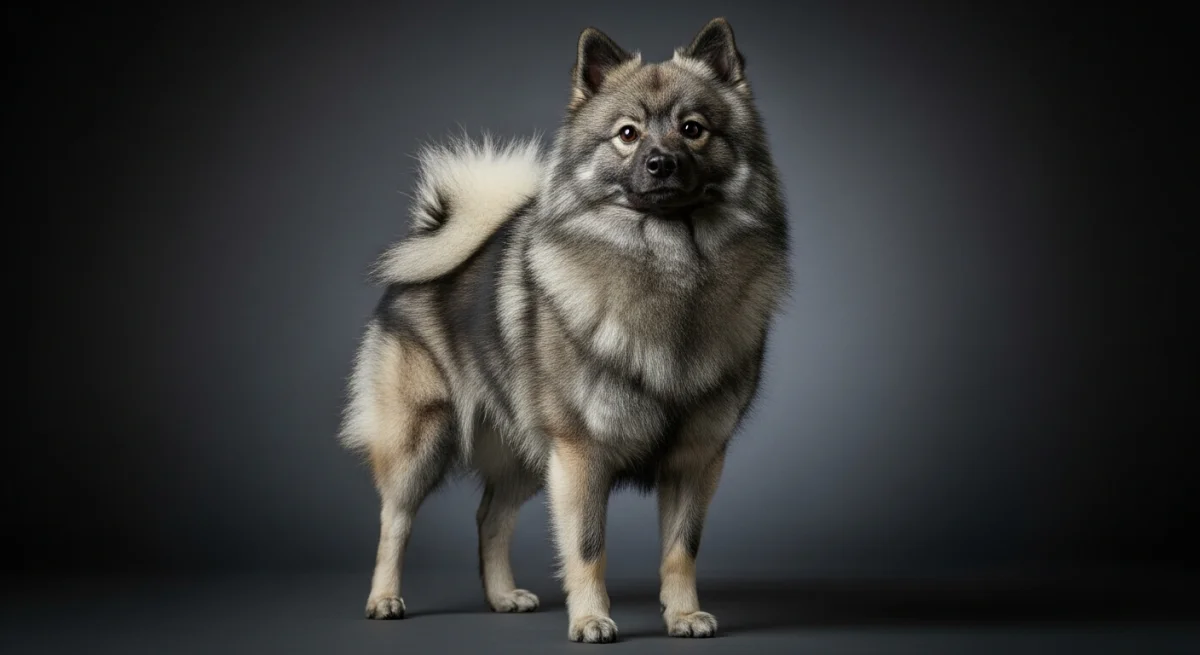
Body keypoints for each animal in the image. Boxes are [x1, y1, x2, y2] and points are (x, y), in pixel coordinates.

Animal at [338, 17, 790, 642]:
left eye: (693, 129)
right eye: (626, 134)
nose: (661, 163)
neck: (669, 267)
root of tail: (426, 252)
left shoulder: (695, 458)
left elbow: (681, 550)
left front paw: (683, 615)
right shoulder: (580, 455)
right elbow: (586, 547)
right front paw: (593, 619)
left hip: (525, 452)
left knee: (490, 516)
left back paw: (502, 596)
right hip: (421, 441)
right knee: (395, 520)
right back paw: (384, 599)